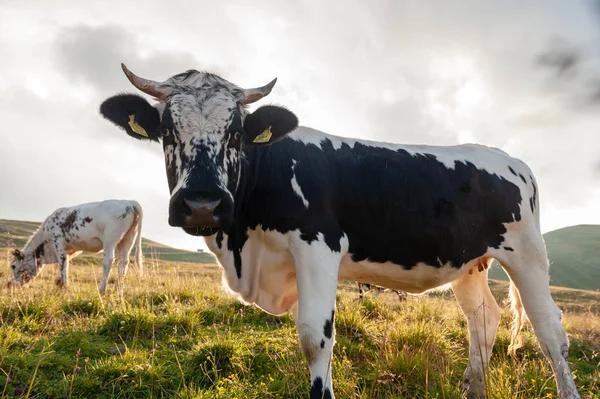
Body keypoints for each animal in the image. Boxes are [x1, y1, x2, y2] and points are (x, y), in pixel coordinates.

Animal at [7, 200, 143, 294]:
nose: (8, 284)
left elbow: (63, 266)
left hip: (110, 240)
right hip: (128, 239)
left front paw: (64, 286)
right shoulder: (70, 250)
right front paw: (58, 284)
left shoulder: (59, 245)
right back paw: (118, 290)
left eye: (13, 266)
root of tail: (129, 202)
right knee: (123, 263)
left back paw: (102, 290)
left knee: (108, 262)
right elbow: (60, 266)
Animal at [99, 64, 580, 398]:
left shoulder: (318, 247)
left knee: (550, 331)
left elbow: (315, 339)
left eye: (235, 132)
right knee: (483, 319)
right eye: (166, 130)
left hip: (527, 252)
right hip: (470, 263)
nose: (203, 203)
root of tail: (508, 158)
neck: (242, 248)